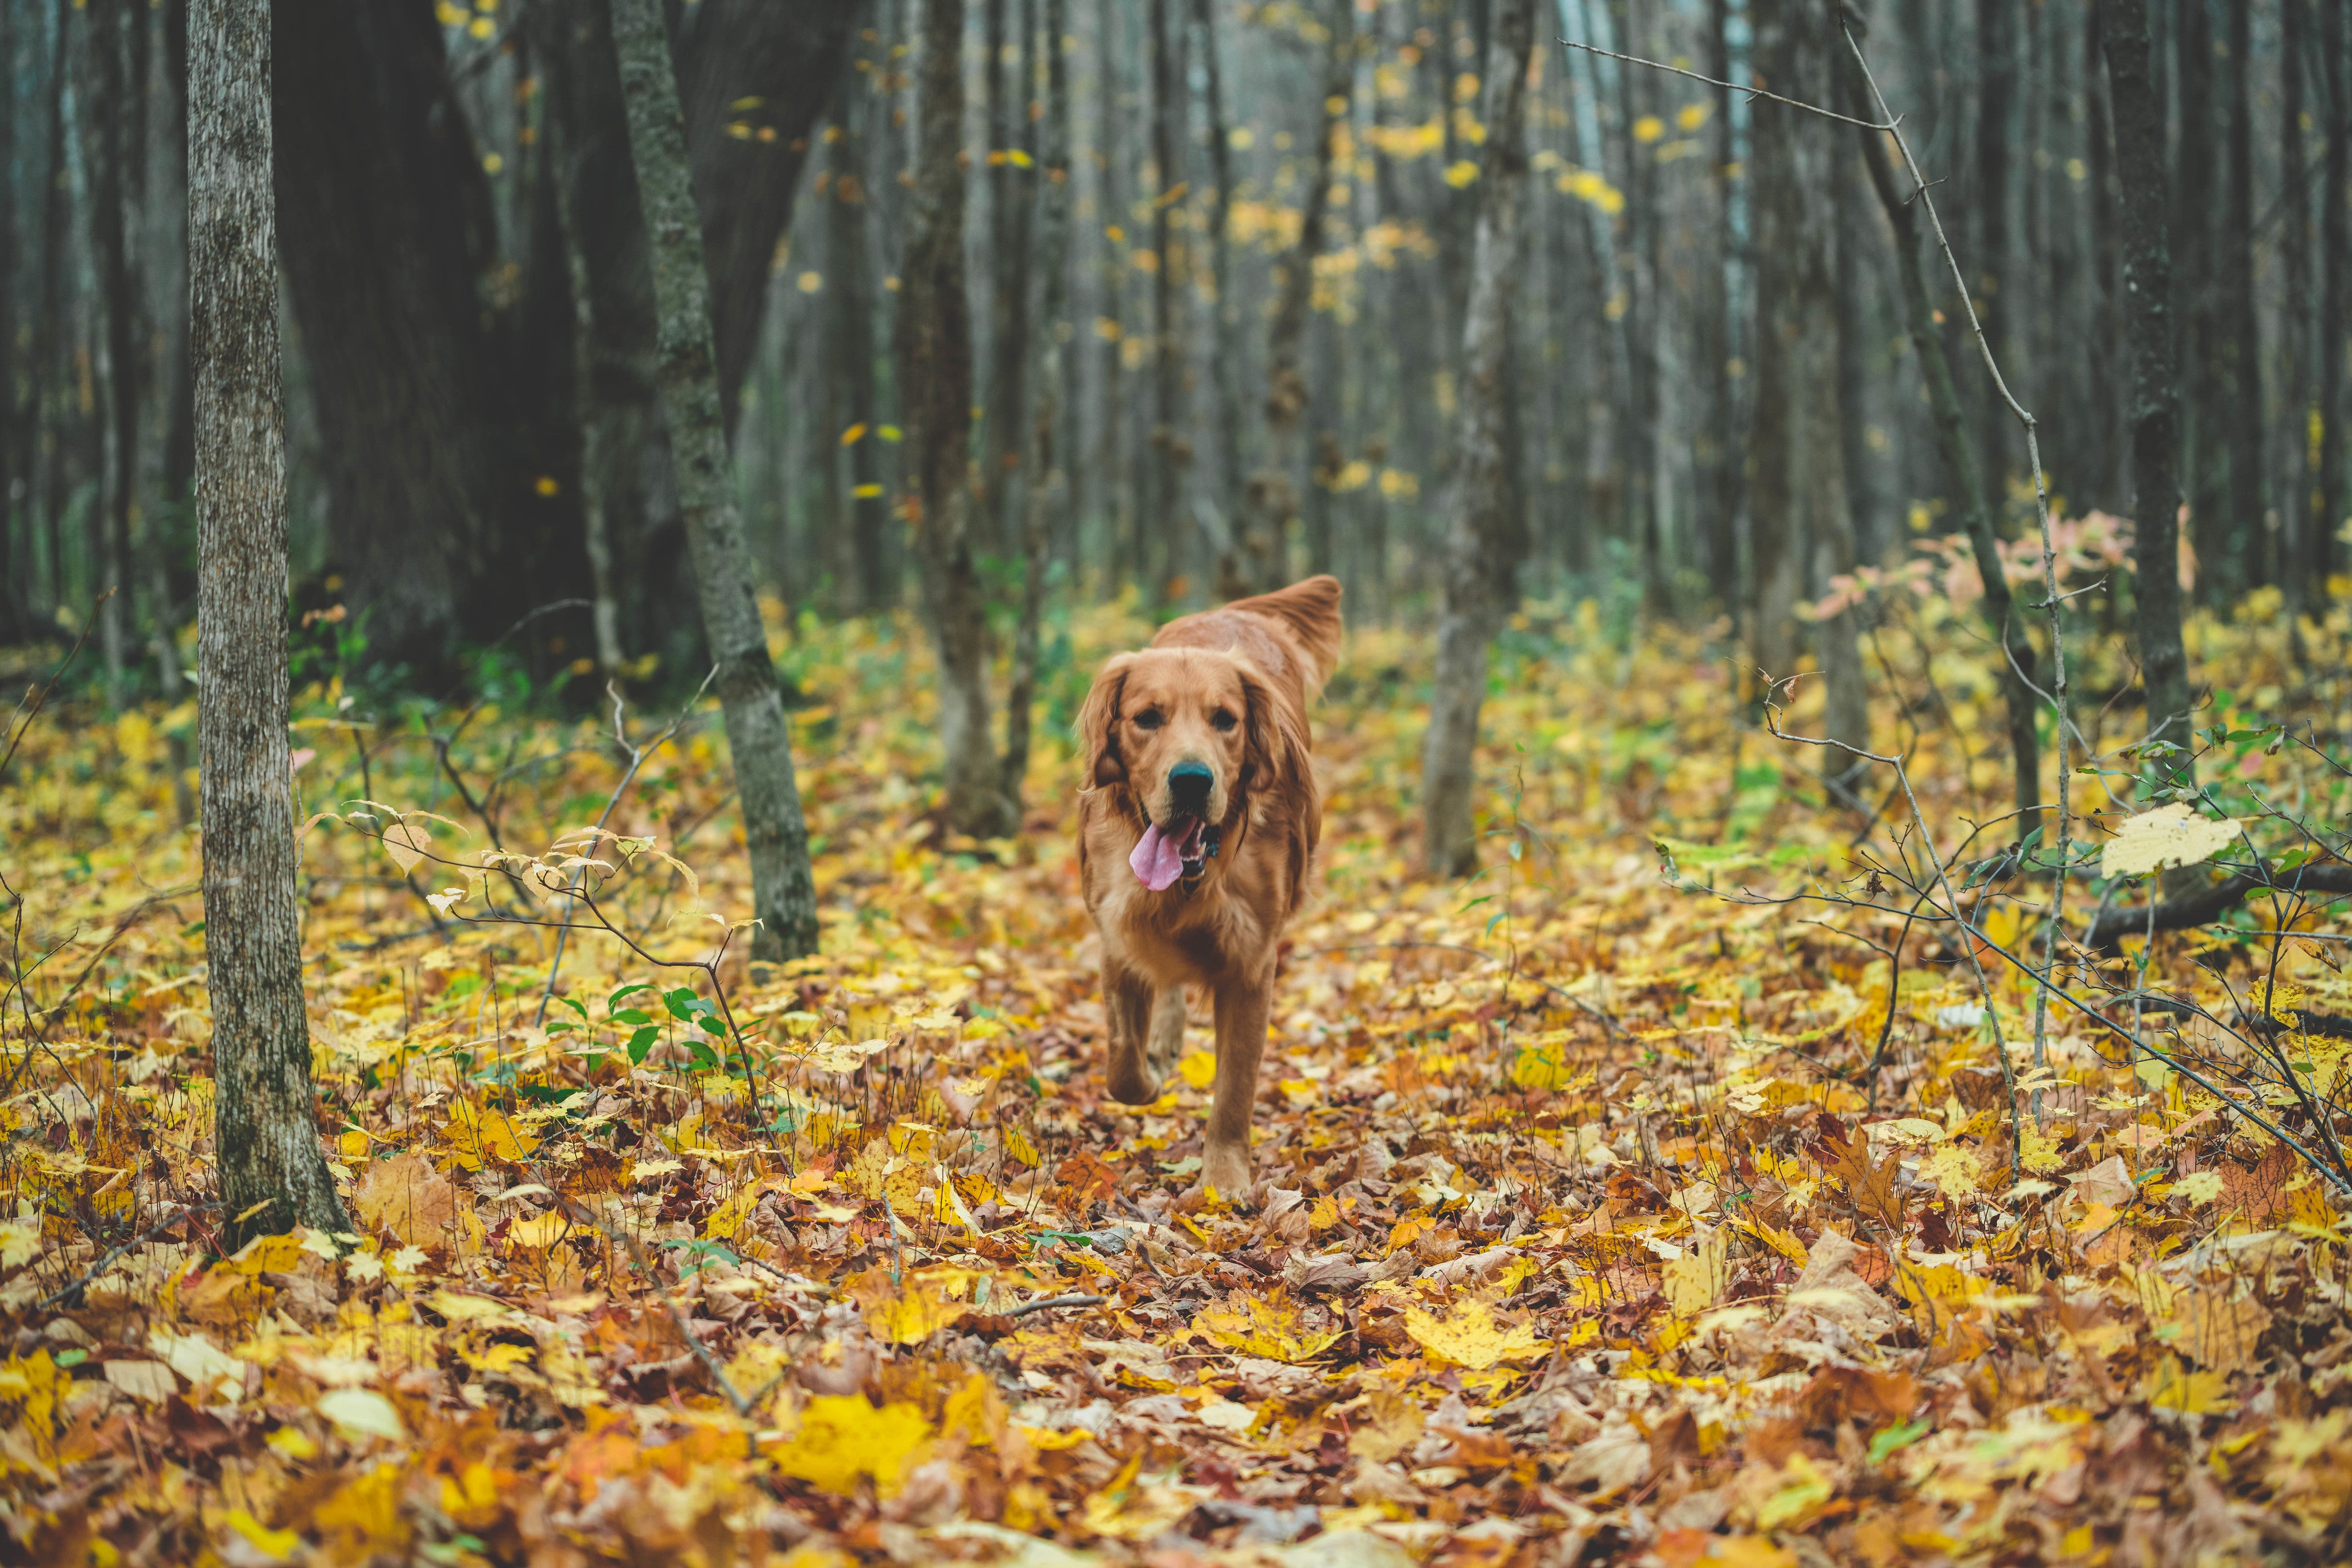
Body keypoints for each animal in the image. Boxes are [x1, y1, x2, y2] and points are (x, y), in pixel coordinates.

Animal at [1072, 576, 1345, 1203]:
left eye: (1225, 720)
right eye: (1147, 718)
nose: (1193, 781)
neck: (1191, 885)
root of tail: (1234, 611)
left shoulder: (1252, 964)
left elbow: (1235, 1089)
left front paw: (1223, 1179)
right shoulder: (1117, 933)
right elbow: (1122, 1065)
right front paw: (1148, 1075)